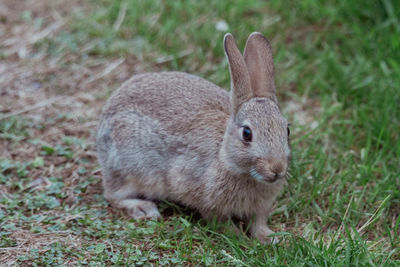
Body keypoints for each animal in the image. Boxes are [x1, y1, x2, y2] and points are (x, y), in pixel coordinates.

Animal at [97, 31, 290, 243]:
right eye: (247, 134)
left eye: (287, 129)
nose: (277, 169)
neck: (224, 157)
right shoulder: (198, 192)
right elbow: (220, 221)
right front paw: (239, 237)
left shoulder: (259, 208)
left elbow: (258, 222)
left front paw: (271, 238)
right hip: (129, 168)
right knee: (112, 195)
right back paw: (143, 207)